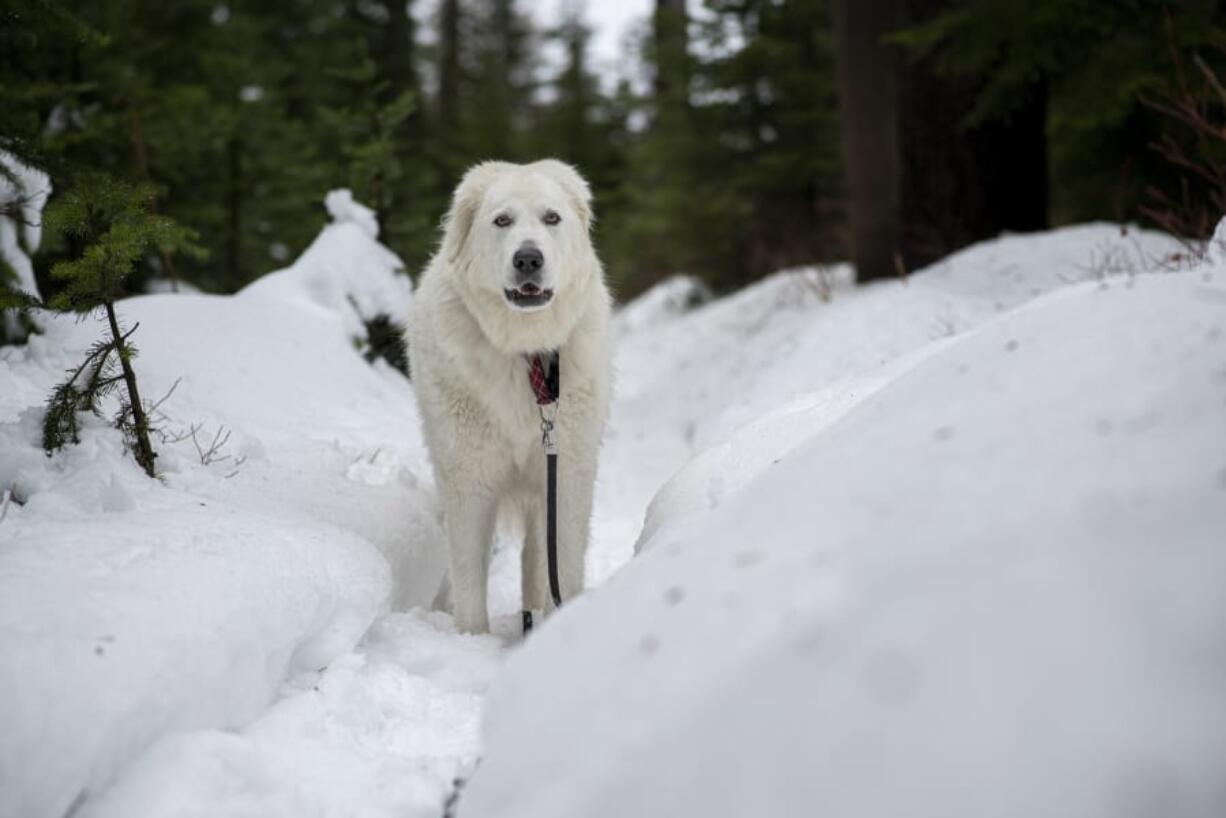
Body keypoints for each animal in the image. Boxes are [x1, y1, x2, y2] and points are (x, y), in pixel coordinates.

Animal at [407, 159, 613, 632]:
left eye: (552, 218)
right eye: (502, 221)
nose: (528, 259)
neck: (526, 352)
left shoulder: (565, 472)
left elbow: (563, 563)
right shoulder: (468, 478)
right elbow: (469, 574)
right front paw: (471, 639)